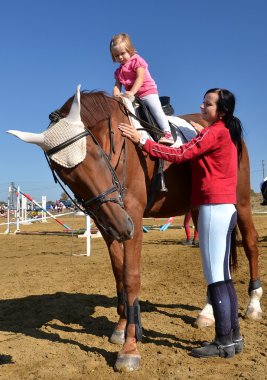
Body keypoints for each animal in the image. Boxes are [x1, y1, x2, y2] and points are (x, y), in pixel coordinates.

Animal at [6, 85, 264, 372]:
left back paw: (253, 305)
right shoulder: (108, 224)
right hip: (198, 208)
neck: (121, 146)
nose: (122, 226)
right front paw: (121, 328)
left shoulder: (133, 217)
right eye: (64, 174)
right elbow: (119, 274)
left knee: (250, 243)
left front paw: (129, 349)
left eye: (97, 154)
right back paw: (207, 313)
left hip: (240, 201)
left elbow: (131, 277)